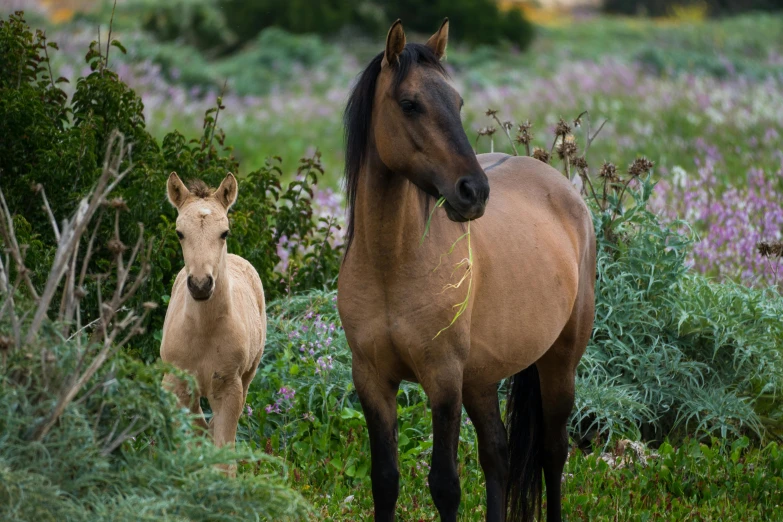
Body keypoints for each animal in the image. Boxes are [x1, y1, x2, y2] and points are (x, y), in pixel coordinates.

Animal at [336, 18, 596, 516]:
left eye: (457, 102)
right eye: (410, 104)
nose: (474, 192)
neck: (391, 265)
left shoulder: (443, 381)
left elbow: (445, 484)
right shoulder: (372, 380)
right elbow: (385, 480)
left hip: (559, 363)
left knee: (553, 452)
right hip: (481, 378)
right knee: (497, 453)